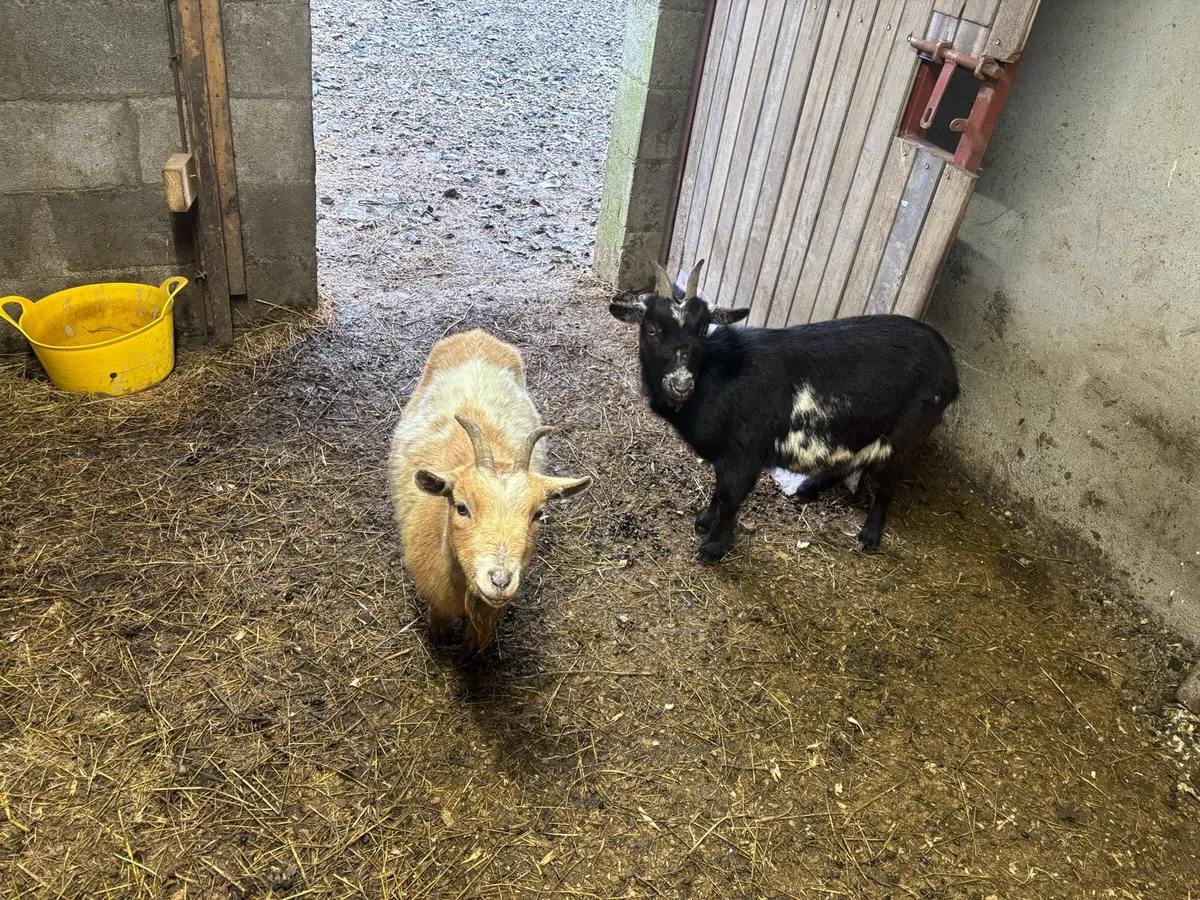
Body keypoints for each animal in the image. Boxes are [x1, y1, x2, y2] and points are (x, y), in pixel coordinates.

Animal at [610, 259, 958, 562]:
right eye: (651, 329)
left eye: (702, 328)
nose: (680, 385)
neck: (715, 378)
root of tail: (950, 367)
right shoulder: (727, 453)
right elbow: (719, 490)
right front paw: (706, 519)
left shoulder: (744, 452)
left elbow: (730, 496)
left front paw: (715, 546)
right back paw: (807, 489)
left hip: (905, 434)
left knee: (885, 483)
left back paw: (870, 535)